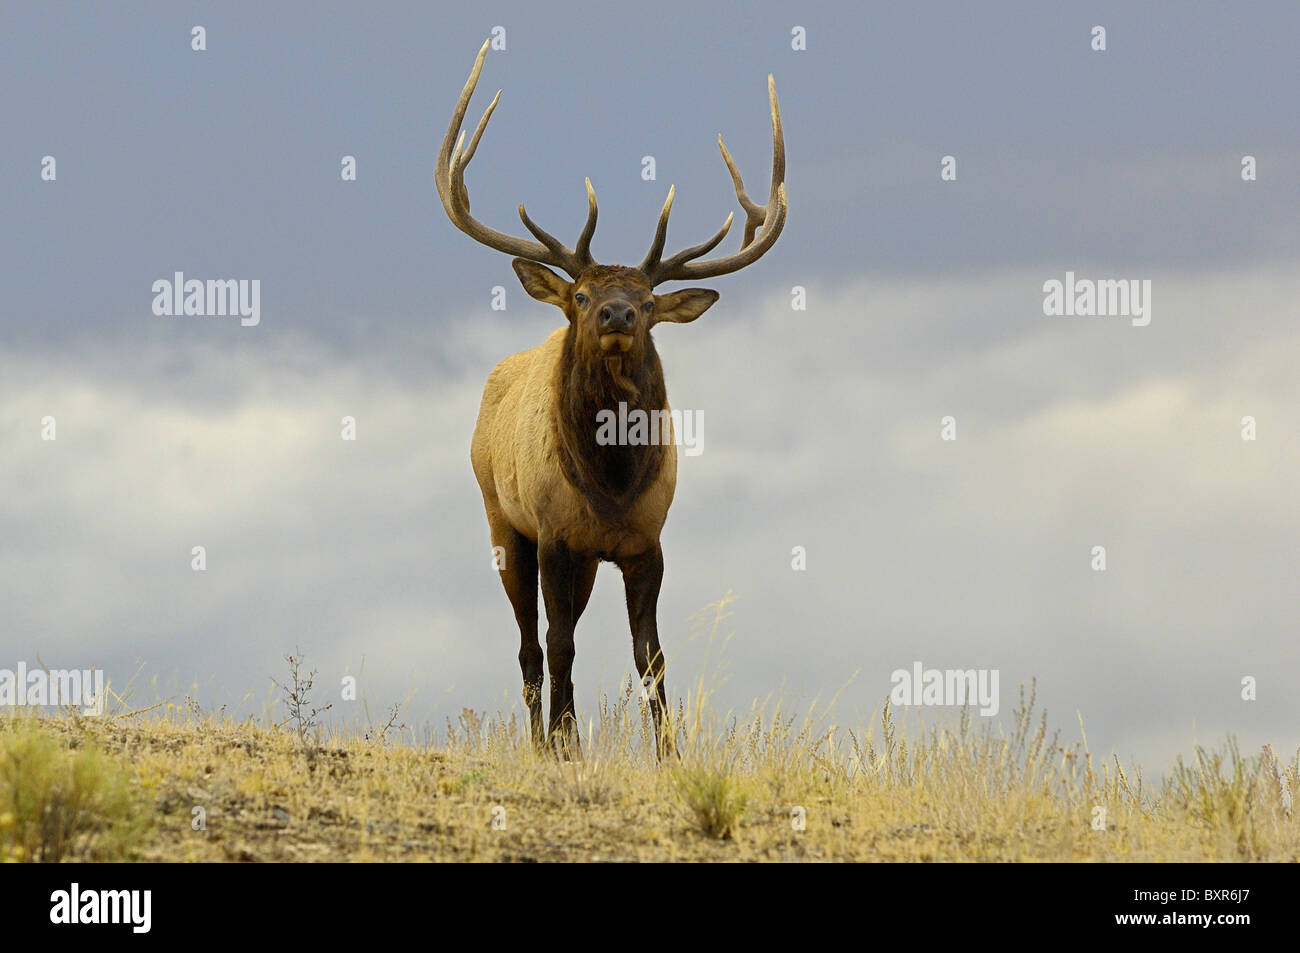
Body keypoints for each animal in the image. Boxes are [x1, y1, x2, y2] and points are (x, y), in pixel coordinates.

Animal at [436, 37, 785, 754]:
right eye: (581, 293)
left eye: (650, 301)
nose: (617, 313)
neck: (611, 483)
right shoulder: (552, 533)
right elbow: (559, 644)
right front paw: (566, 746)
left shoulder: (645, 540)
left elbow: (651, 654)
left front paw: (669, 753)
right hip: (502, 520)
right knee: (530, 645)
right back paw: (542, 739)